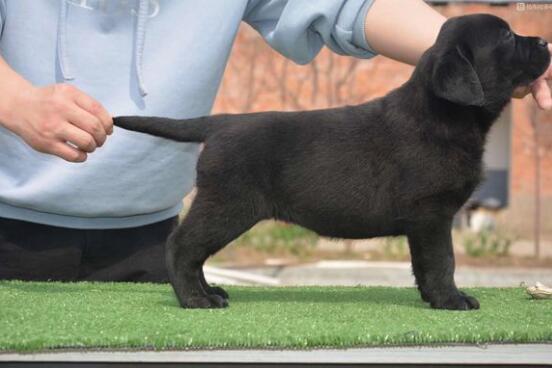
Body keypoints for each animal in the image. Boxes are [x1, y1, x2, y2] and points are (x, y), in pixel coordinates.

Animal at [114, 15, 548, 312]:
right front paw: (451, 300)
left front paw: (432, 297)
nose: (546, 40)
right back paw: (195, 299)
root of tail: (222, 122)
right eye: (507, 36)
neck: (443, 114)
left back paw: (210, 291)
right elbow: (444, 260)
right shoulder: (432, 215)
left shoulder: (424, 223)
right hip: (227, 204)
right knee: (181, 245)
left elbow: (424, 264)